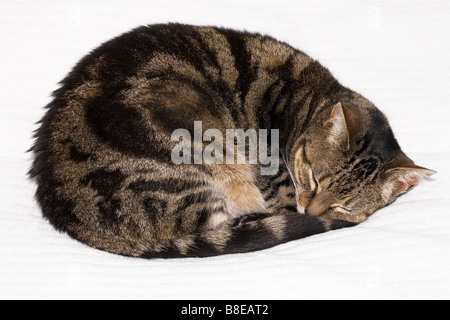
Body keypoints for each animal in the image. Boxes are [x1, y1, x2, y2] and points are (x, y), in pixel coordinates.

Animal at [29, 23, 436, 258]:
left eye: (345, 205)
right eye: (313, 179)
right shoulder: (275, 173)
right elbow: (281, 202)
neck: (307, 99)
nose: (313, 212)